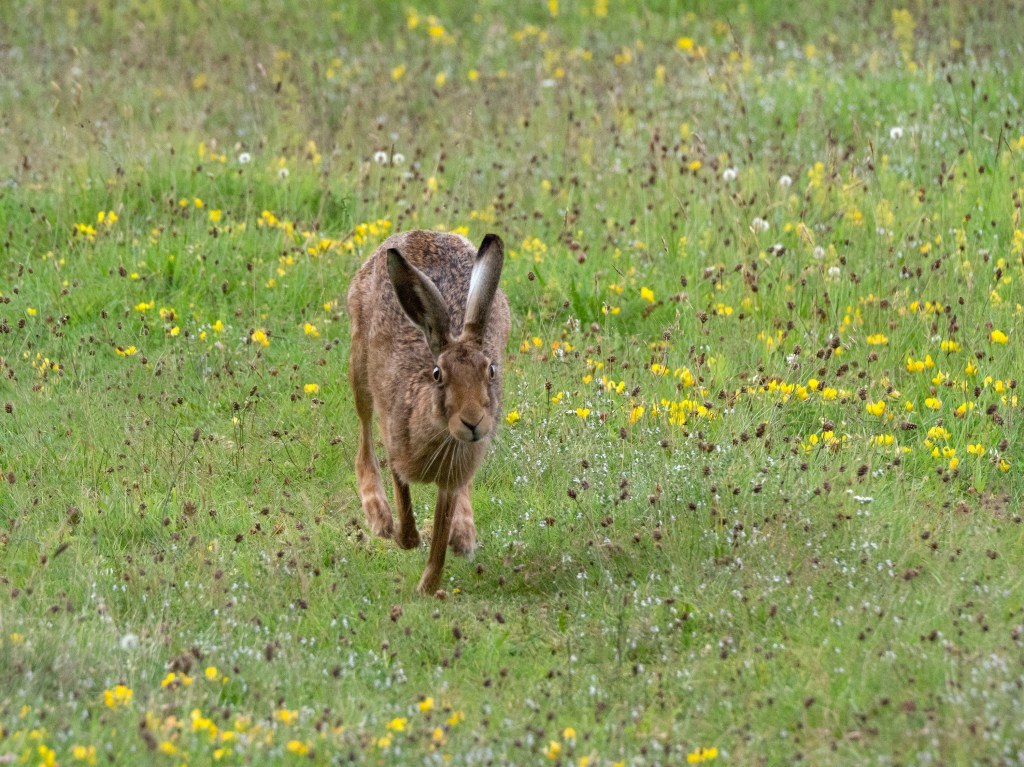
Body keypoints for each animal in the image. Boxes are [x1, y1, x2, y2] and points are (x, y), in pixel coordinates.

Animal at [347, 230, 511, 594]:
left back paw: (464, 535)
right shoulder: (395, 443)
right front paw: (405, 538)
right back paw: (378, 515)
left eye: (491, 371)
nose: (473, 422)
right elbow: (403, 497)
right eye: (438, 375)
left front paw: (428, 588)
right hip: (360, 367)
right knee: (363, 433)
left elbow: (440, 534)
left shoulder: (452, 477)